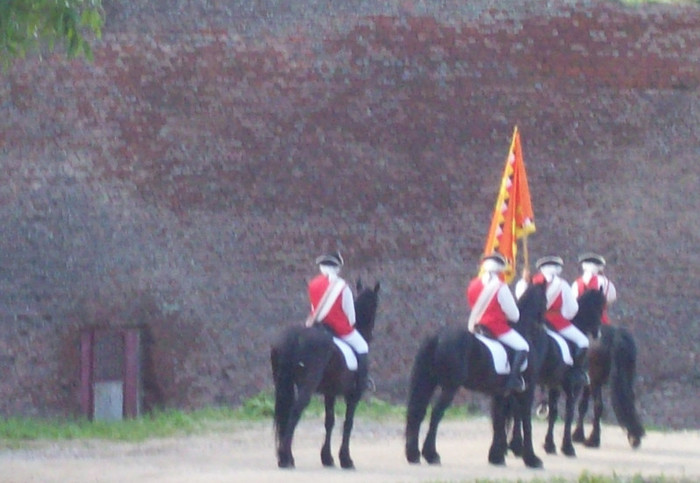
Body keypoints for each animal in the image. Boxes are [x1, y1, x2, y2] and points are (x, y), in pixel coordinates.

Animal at [270, 280, 380, 468]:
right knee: (295, 412)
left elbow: (329, 421)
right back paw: (286, 457)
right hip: (307, 386)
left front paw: (327, 457)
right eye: (375, 306)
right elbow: (348, 423)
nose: (371, 335)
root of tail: (295, 335)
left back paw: (285, 456)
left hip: (282, 384)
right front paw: (346, 459)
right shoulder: (353, 396)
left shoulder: (330, 393)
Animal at [404, 284, 548, 468]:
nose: (544, 325)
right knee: (436, 414)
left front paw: (496, 457)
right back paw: (431, 454)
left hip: (429, 381)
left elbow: (499, 421)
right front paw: (532, 459)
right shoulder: (526, 392)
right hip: (450, 387)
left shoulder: (500, 394)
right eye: (546, 300)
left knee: (418, 412)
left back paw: (413, 455)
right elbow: (526, 423)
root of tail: (437, 336)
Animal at [506, 288, 604, 458]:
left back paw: (514, 445)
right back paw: (517, 445)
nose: (598, 333)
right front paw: (567, 446)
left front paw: (549, 445)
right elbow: (569, 412)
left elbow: (553, 412)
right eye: (599, 307)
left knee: (515, 408)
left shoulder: (554, 385)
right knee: (519, 408)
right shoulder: (572, 386)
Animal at [576, 322, 644, 450]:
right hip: (626, 378)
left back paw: (593, 440)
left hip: (595, 380)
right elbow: (583, 405)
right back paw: (634, 436)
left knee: (598, 406)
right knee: (630, 400)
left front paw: (578, 435)